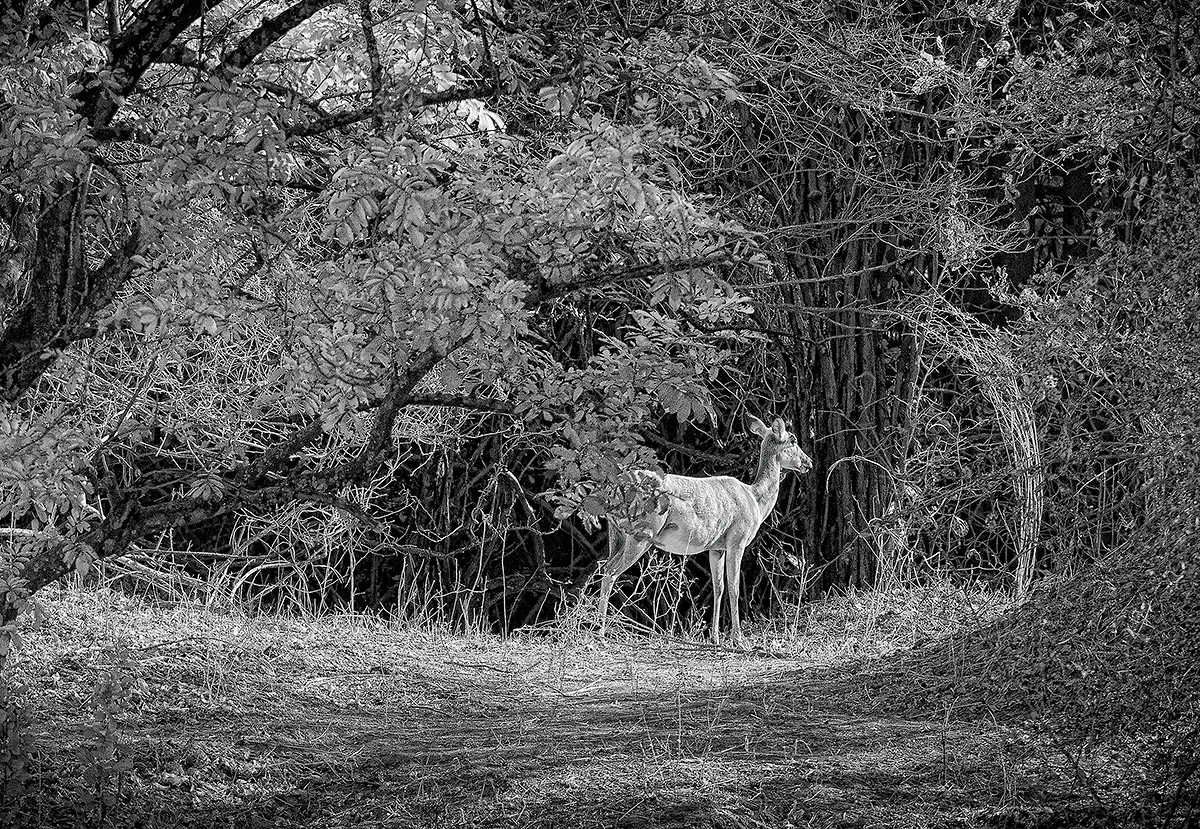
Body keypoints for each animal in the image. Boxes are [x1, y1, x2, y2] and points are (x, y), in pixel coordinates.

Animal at [596, 415, 813, 648]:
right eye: (793, 440)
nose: (809, 462)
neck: (754, 499)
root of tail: (613, 491)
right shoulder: (737, 539)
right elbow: (734, 586)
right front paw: (738, 639)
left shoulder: (716, 547)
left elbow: (718, 587)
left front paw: (715, 638)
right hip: (642, 532)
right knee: (611, 570)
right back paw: (600, 632)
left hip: (616, 534)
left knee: (605, 565)